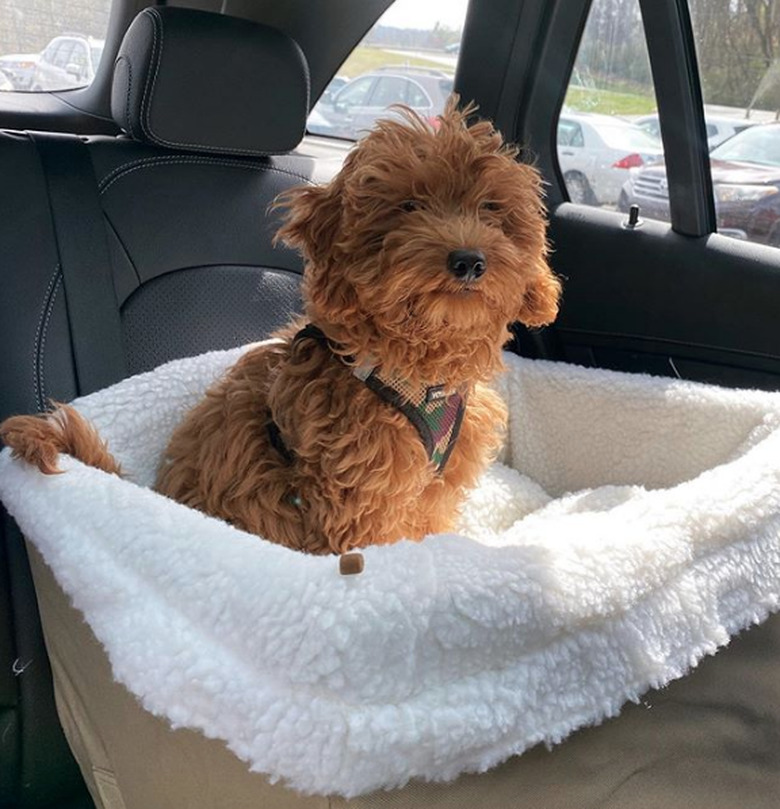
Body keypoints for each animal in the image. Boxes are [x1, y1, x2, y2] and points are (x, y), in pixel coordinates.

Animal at [1, 101, 560, 556]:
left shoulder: (436, 485)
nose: (468, 261)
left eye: (492, 210)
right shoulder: (364, 495)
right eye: (408, 206)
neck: (422, 372)